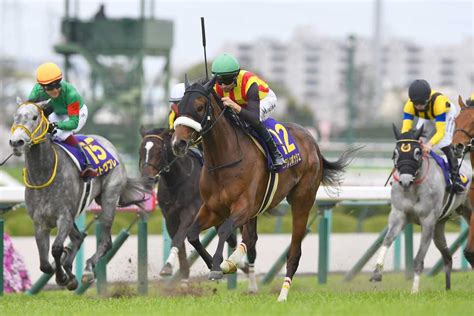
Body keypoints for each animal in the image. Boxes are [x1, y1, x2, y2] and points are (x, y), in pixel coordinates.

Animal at [10, 100, 149, 290]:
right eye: (15, 117)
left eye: (34, 117)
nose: (16, 142)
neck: (43, 175)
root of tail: (110, 145)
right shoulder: (40, 222)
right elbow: (45, 265)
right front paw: (66, 274)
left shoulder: (64, 217)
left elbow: (56, 248)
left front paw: (62, 277)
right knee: (78, 238)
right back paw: (71, 269)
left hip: (109, 197)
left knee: (105, 241)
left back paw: (87, 270)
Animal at [139, 127, 260, 292]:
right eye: (141, 150)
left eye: (158, 151)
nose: (147, 179)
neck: (178, 181)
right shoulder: (170, 218)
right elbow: (180, 247)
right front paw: (184, 280)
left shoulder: (190, 213)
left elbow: (178, 239)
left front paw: (168, 266)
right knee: (232, 240)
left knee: (250, 242)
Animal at [170, 77, 356, 302]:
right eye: (179, 107)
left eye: (199, 106)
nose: (178, 143)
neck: (225, 159)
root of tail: (313, 143)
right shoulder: (213, 208)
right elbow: (192, 234)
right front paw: (220, 265)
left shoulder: (243, 207)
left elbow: (224, 230)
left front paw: (217, 266)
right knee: (250, 240)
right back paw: (235, 262)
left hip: (302, 201)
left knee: (294, 252)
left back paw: (282, 295)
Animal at [372, 124, 472, 292]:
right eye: (395, 152)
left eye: (417, 152)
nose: (405, 180)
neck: (413, 188)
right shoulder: (398, 215)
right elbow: (386, 241)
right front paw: (377, 273)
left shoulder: (428, 221)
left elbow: (419, 258)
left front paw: (414, 291)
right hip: (440, 226)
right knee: (447, 257)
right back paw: (447, 289)